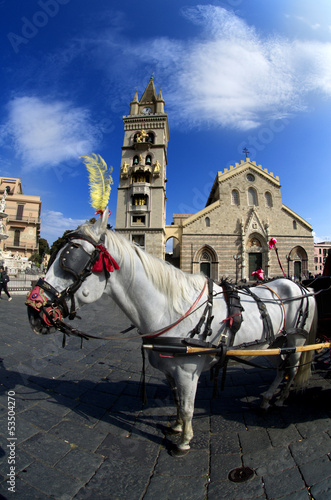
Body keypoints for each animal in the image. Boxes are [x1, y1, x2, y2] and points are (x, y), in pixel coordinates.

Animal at [26, 213, 320, 456]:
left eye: (71, 259)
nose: (32, 309)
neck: (171, 307)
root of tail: (302, 286)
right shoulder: (170, 370)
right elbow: (178, 402)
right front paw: (177, 427)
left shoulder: (188, 371)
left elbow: (188, 406)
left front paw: (184, 442)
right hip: (275, 343)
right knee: (280, 369)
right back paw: (268, 399)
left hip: (295, 340)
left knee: (292, 369)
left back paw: (280, 399)